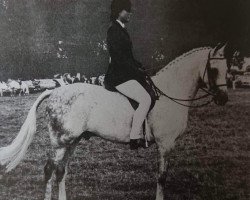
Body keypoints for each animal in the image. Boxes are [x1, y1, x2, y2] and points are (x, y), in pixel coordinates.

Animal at [0, 44, 229, 200]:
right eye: (214, 70)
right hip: (60, 142)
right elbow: (162, 177)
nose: (223, 99)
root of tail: (54, 91)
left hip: (72, 141)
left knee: (60, 171)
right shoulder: (166, 144)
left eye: (227, 69)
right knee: (49, 170)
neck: (170, 92)